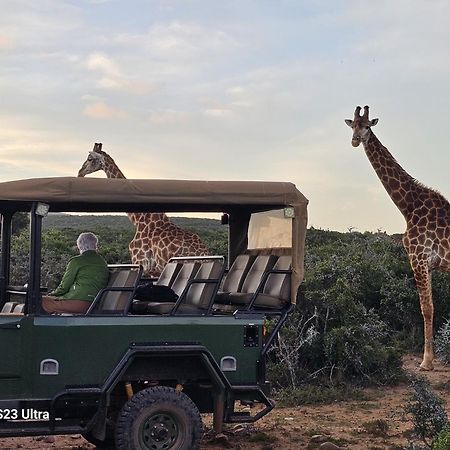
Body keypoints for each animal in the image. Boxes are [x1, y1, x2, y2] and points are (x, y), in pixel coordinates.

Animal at [78, 142, 209, 276]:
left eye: (90, 158)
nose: (80, 172)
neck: (140, 219)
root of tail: (204, 254)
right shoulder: (153, 270)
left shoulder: (139, 261)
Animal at [346, 105, 448, 370]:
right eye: (352, 126)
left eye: (367, 126)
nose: (354, 141)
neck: (409, 206)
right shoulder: (428, 264)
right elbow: (431, 306)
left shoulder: (418, 258)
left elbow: (426, 308)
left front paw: (426, 362)